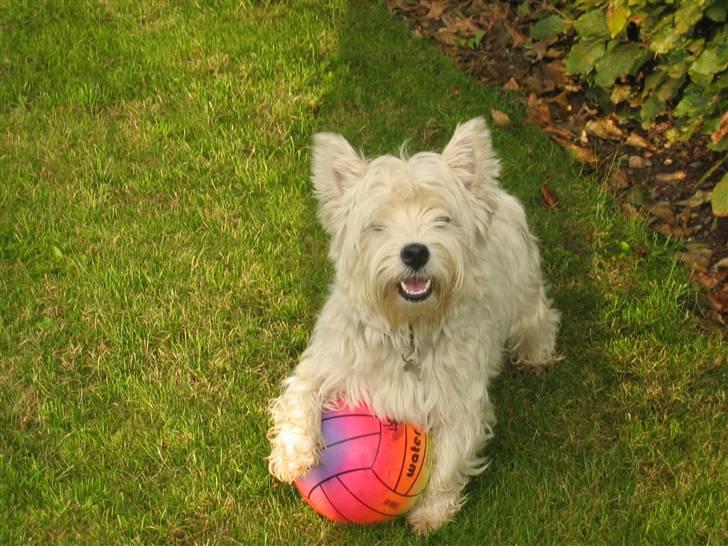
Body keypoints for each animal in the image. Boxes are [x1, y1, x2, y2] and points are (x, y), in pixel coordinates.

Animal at [270, 116, 560, 532]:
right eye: (376, 225)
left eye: (444, 219)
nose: (415, 252)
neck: (407, 330)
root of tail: (498, 196)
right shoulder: (327, 362)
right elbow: (299, 398)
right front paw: (293, 456)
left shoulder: (460, 402)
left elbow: (450, 460)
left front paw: (431, 512)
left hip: (525, 293)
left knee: (540, 318)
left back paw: (537, 354)